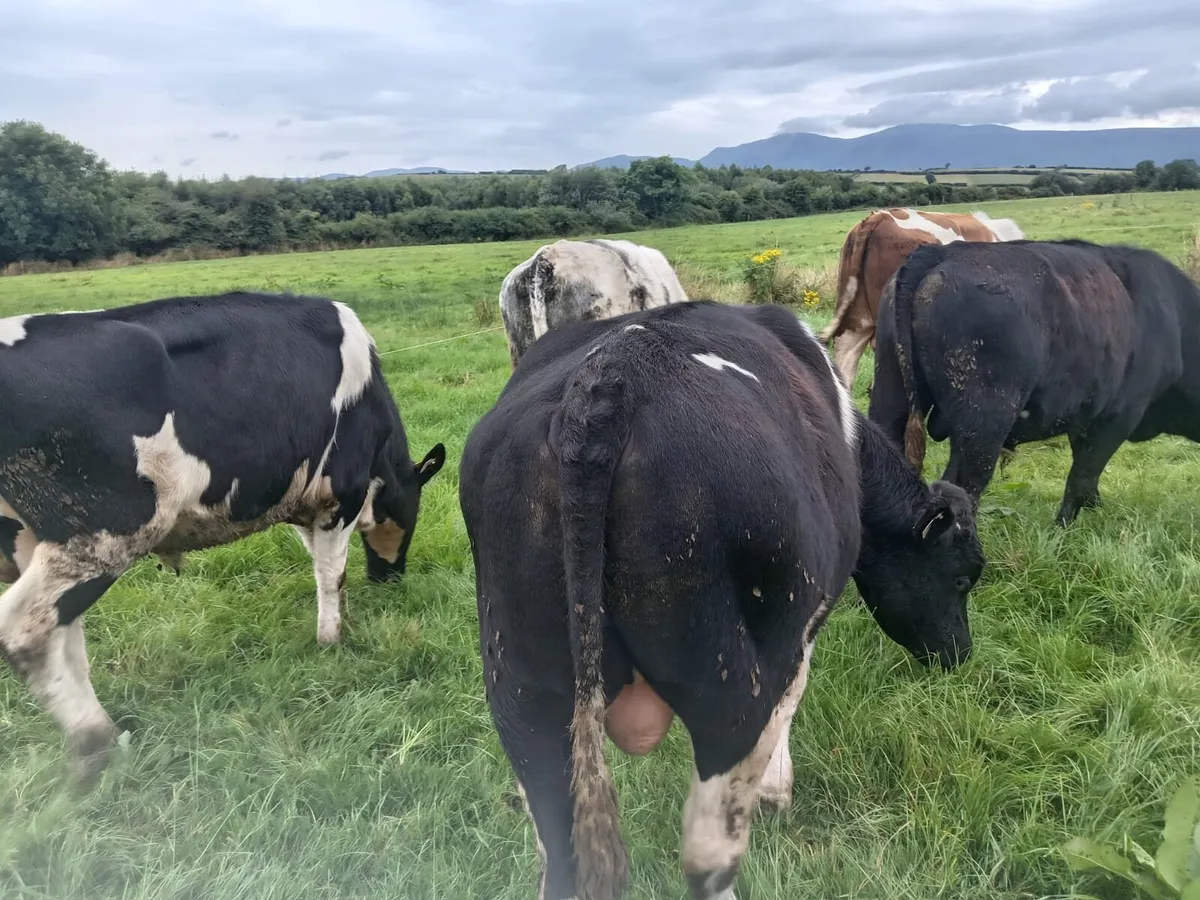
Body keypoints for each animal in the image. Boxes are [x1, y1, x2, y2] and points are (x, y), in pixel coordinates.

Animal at [0, 291, 446, 777]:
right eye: (413, 512)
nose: (390, 578)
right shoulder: (340, 494)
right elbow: (332, 574)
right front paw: (332, 639)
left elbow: (323, 567)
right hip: (102, 533)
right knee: (25, 630)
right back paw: (98, 741)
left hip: (35, 542)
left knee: (62, 632)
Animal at [459, 299, 984, 900]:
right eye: (963, 578)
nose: (960, 653)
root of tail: (606, 382)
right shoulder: (799, 633)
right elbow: (790, 707)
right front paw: (778, 790)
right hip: (731, 688)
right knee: (709, 853)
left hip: (525, 696)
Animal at [868, 238, 1200, 526]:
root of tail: (941, 252)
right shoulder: (1118, 417)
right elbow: (1082, 475)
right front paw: (1064, 529)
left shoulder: (1085, 417)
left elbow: (1085, 472)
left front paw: (1095, 511)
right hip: (984, 423)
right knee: (962, 488)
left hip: (891, 394)